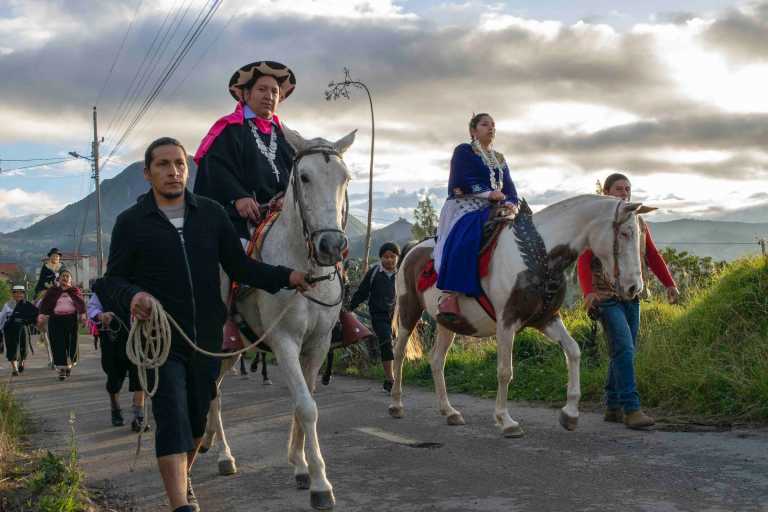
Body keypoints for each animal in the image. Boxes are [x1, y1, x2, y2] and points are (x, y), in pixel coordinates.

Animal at [198, 127, 354, 508]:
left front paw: (299, 465)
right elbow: (307, 407)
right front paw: (320, 484)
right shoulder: (284, 341)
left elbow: (304, 400)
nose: (331, 245)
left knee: (215, 389)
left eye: (344, 178)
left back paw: (208, 440)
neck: (304, 268)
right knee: (214, 392)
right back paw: (224, 455)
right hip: (221, 346)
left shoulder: (318, 344)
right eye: (305, 176)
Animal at [390, 195, 648, 436]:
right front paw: (505, 420)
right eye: (625, 233)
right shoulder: (507, 321)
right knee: (399, 353)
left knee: (436, 360)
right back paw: (396, 404)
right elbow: (505, 371)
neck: (539, 256)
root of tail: (413, 248)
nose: (634, 288)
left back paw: (449, 411)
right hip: (409, 310)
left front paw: (570, 413)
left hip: (447, 323)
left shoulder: (547, 319)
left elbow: (573, 351)